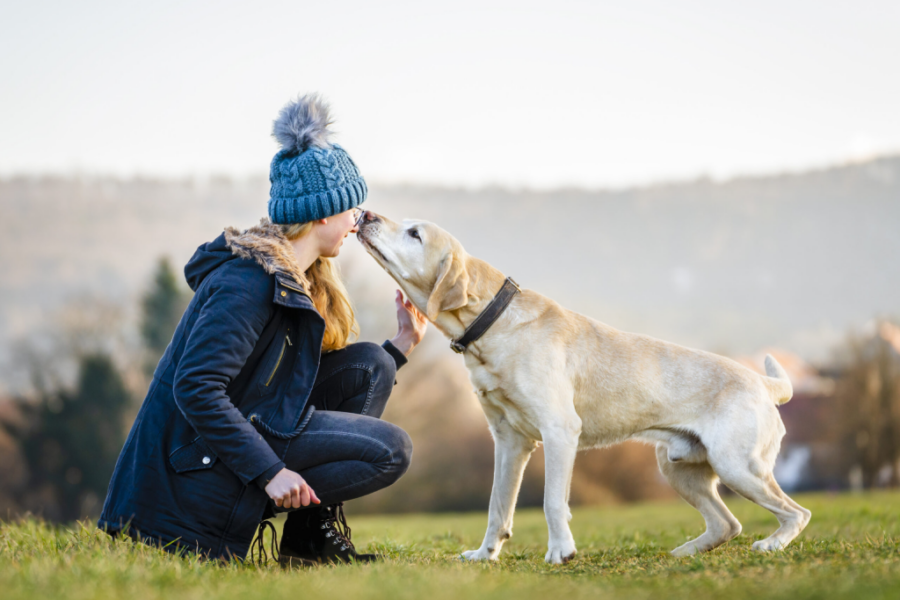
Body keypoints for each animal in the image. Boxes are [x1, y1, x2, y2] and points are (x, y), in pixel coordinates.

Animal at [356, 210, 812, 564]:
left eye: (415, 233)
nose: (366, 215)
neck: (493, 324)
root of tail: (762, 381)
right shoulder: (509, 441)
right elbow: (497, 506)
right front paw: (486, 554)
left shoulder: (559, 431)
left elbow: (552, 501)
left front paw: (561, 551)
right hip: (679, 469)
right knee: (726, 523)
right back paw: (685, 552)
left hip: (738, 465)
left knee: (795, 513)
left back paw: (771, 545)